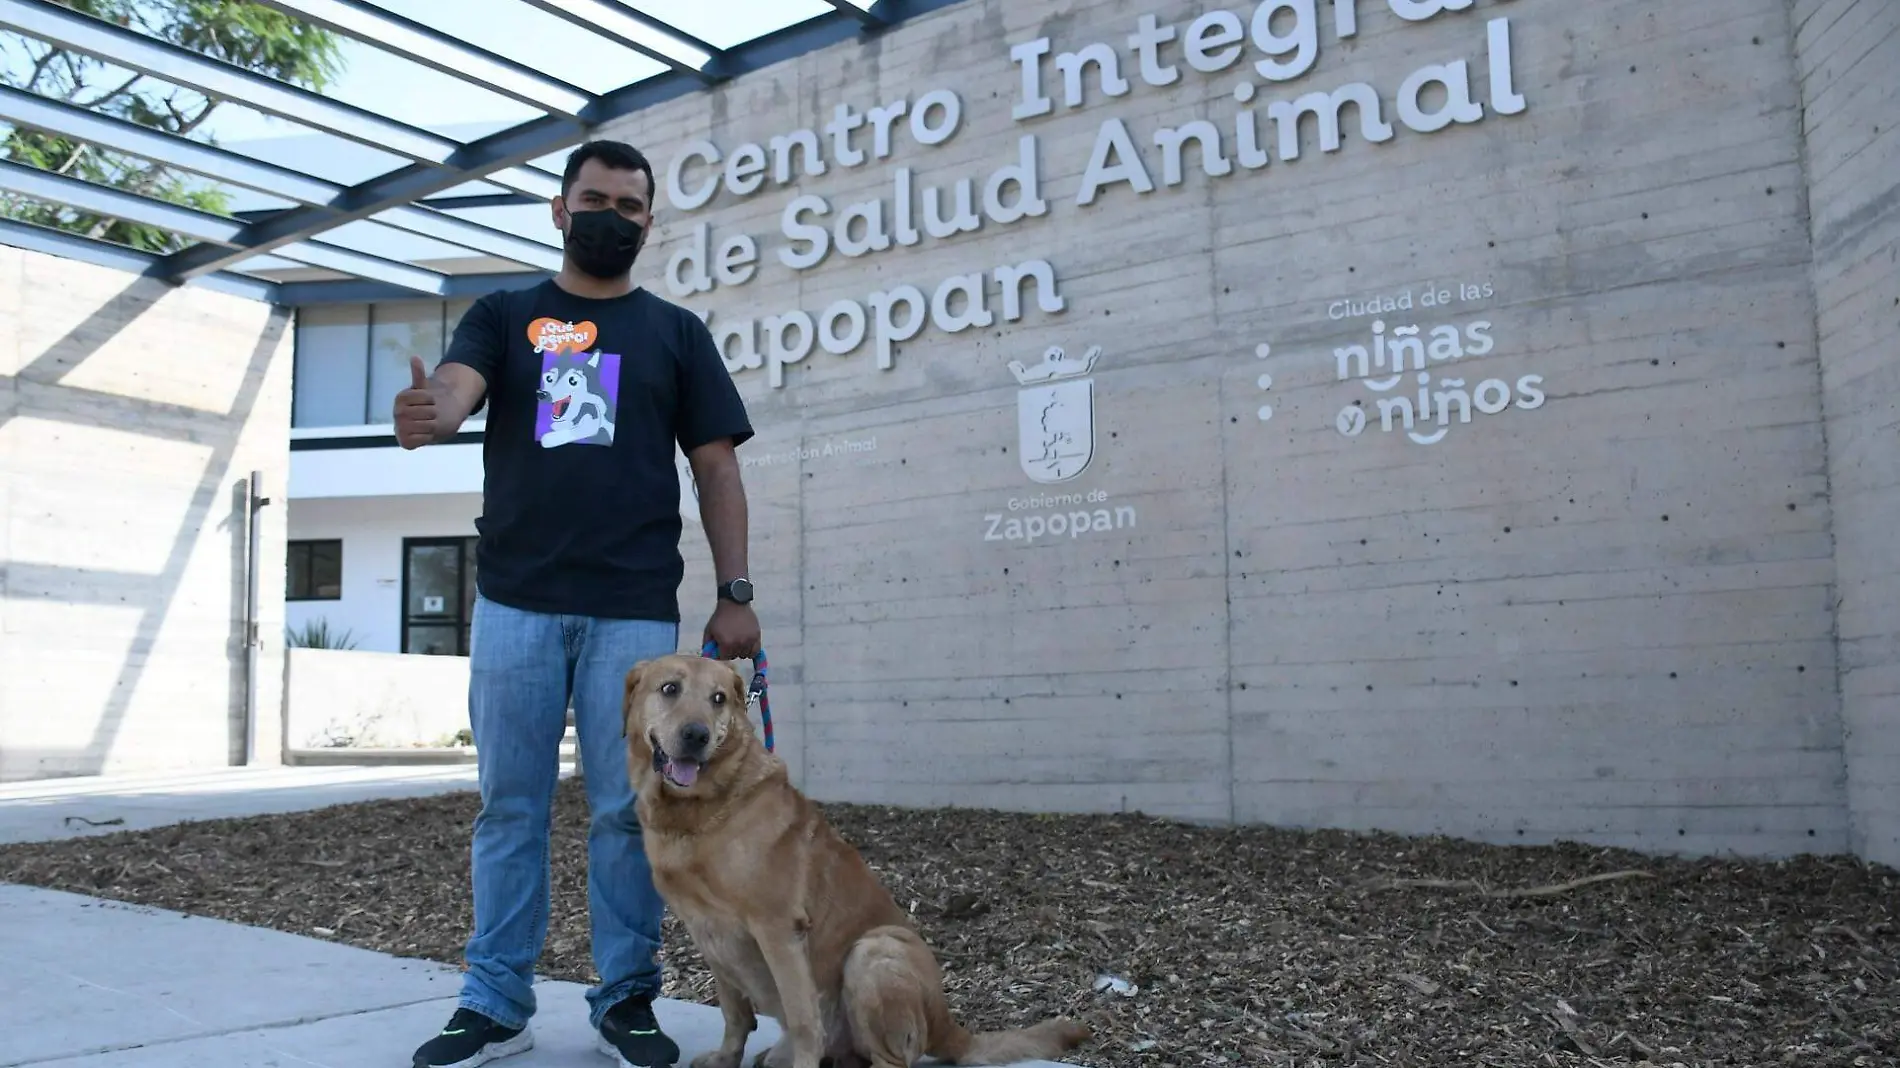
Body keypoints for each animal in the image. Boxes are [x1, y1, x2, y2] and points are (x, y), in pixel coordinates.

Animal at [623, 649, 1094, 1064]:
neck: (698, 812)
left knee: (890, 1059)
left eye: (718, 698)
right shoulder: (707, 932)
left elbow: (803, 1020)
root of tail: (946, 1023)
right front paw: (726, 1059)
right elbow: (735, 1015)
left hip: (874, 951)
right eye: (670, 688)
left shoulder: (777, 928)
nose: (697, 736)